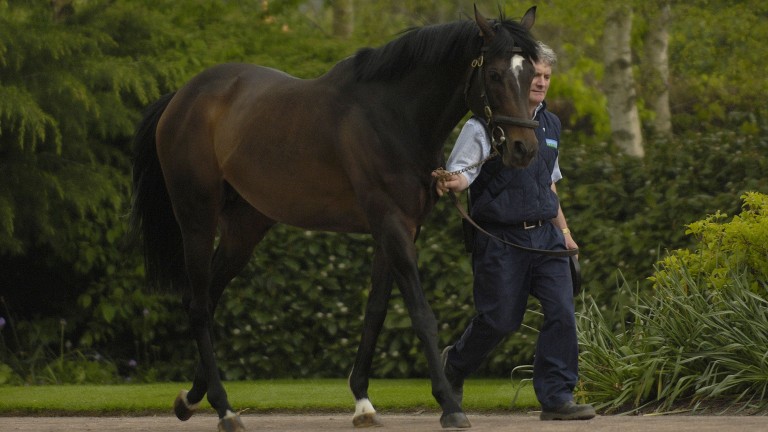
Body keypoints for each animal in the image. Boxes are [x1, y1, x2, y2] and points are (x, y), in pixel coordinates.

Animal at [129, 5, 540, 431]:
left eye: (530, 74)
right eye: (495, 75)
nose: (524, 149)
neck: (392, 115)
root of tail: (182, 97)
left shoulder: (398, 230)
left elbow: (375, 312)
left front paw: (362, 401)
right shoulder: (391, 225)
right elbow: (421, 314)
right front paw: (448, 403)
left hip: (245, 229)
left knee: (206, 300)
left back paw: (192, 398)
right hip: (196, 217)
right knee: (197, 305)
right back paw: (224, 408)